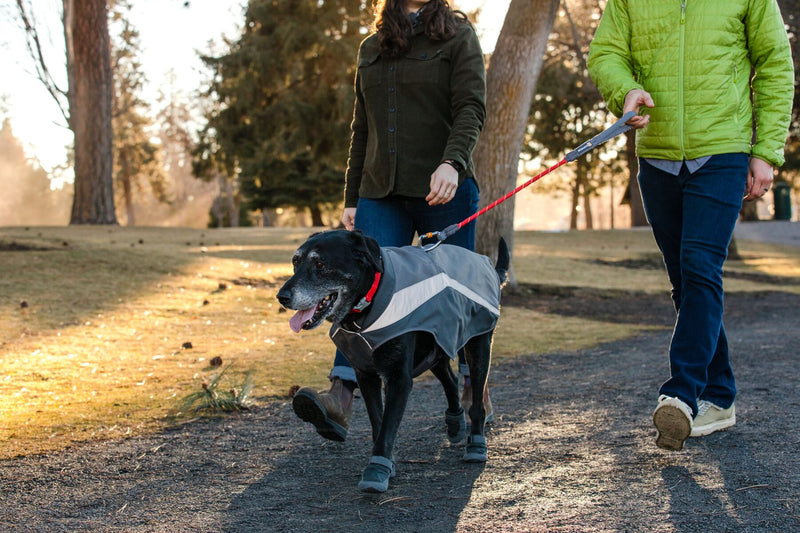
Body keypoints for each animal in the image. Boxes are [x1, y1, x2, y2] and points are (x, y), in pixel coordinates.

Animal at [278, 229, 510, 490]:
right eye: (295, 262)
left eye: (320, 264)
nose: (281, 297)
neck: (369, 300)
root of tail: (486, 264)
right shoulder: (366, 375)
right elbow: (377, 421)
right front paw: (387, 463)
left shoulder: (399, 378)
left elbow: (388, 424)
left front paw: (377, 468)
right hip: (437, 344)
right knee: (450, 380)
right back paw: (455, 423)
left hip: (477, 345)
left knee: (477, 397)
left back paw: (476, 442)